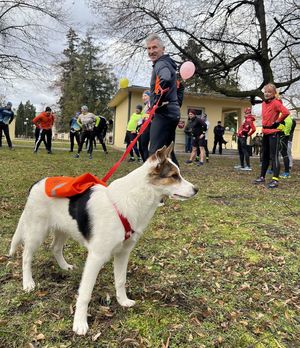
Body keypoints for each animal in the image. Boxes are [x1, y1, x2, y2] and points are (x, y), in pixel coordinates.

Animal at [8, 143, 197, 334]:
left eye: (178, 174)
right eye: (174, 176)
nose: (196, 189)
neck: (133, 199)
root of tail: (37, 183)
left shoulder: (123, 253)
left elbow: (120, 280)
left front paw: (123, 301)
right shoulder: (96, 257)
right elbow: (85, 293)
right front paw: (80, 323)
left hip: (64, 228)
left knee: (55, 248)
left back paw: (64, 266)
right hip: (37, 232)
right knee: (26, 256)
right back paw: (28, 283)